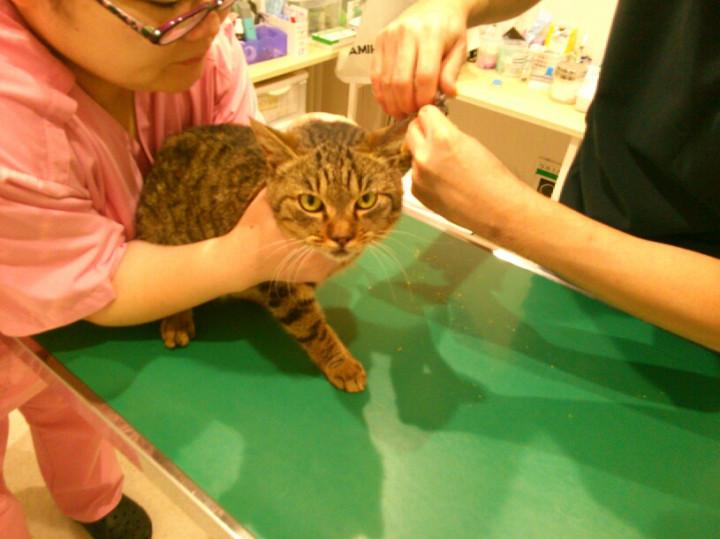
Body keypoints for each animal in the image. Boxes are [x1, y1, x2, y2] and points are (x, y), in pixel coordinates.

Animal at [134, 114, 411, 392]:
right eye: (311, 202)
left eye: (367, 200)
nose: (342, 237)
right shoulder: (281, 286)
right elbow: (314, 329)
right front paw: (342, 365)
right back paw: (177, 321)